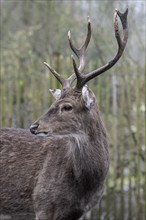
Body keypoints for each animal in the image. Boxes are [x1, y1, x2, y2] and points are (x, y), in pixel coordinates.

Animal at [0, 8, 128, 220]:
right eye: (54, 102)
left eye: (67, 106)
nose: (34, 126)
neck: (85, 186)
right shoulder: (42, 204)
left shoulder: (77, 212)